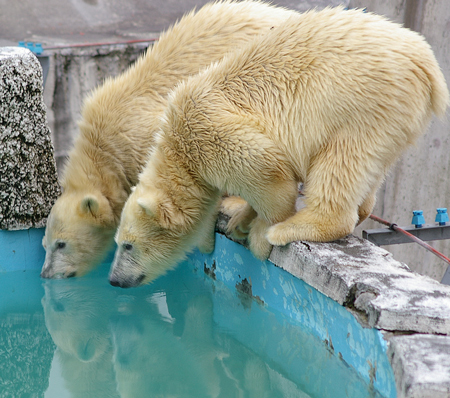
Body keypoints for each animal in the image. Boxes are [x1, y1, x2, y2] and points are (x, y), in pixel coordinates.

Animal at [108, 7, 446, 288]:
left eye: (128, 245)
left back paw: (296, 227)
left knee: (341, 162)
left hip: (366, 104)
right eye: (118, 243)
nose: (113, 279)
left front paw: (259, 233)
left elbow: (268, 173)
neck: (177, 150)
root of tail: (427, 63)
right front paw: (240, 218)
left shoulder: (210, 134)